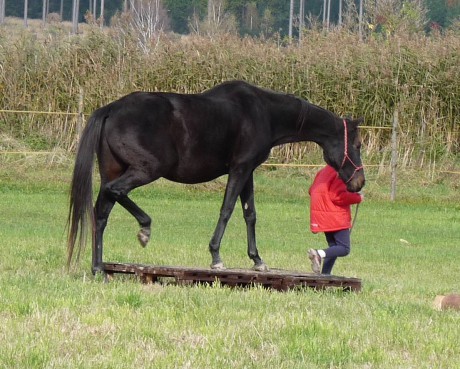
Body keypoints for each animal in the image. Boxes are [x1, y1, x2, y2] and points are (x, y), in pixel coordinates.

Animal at [67, 81, 362, 276]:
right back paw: (144, 229)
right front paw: (216, 257)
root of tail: (111, 108)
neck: (264, 112)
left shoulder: (248, 171)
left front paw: (257, 260)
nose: (359, 183)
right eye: (357, 145)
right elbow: (227, 210)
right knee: (115, 192)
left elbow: (249, 214)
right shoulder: (240, 169)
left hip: (114, 169)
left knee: (101, 213)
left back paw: (98, 268)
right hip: (146, 169)